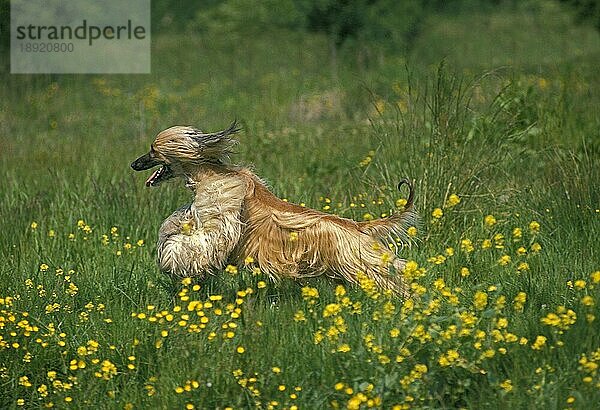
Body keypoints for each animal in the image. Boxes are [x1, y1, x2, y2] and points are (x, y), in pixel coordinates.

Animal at [130, 121, 418, 294]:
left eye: (152, 150)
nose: (134, 164)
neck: (207, 172)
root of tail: (358, 226)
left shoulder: (221, 214)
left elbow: (198, 242)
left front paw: (172, 262)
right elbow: (177, 223)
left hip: (362, 265)